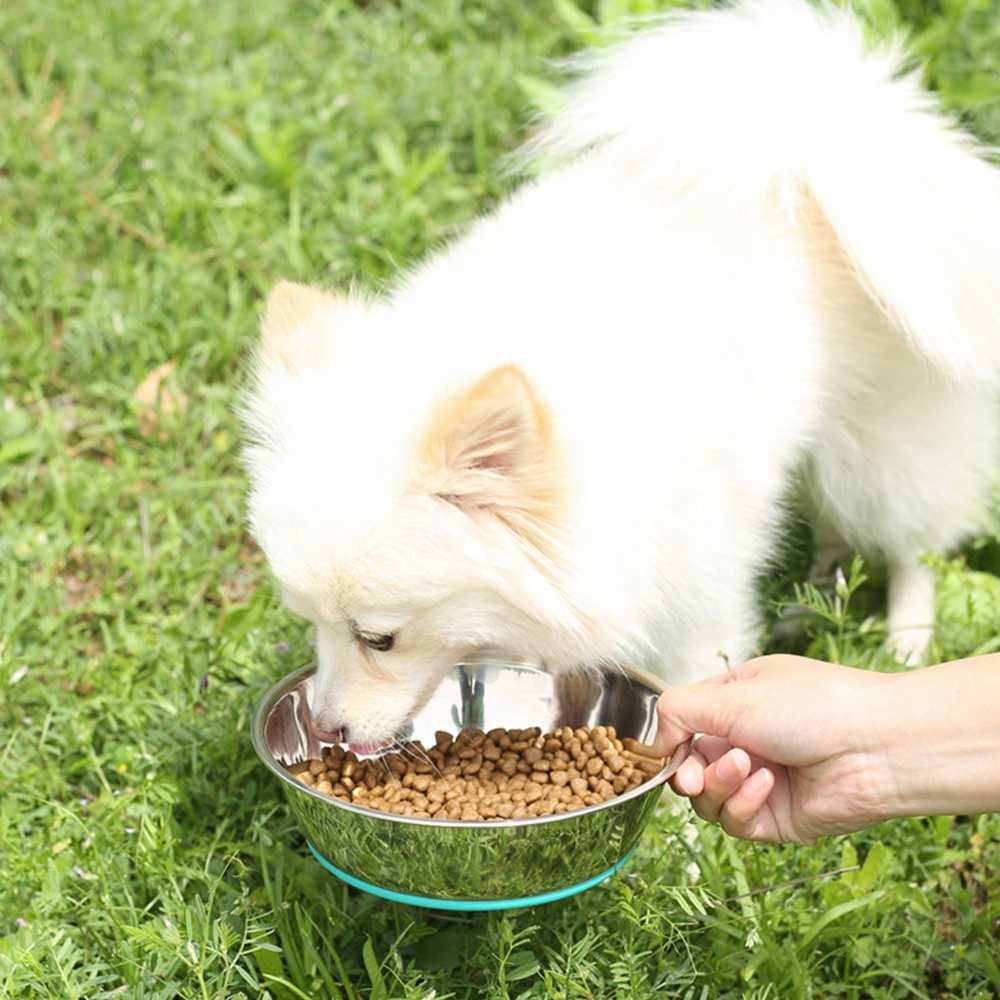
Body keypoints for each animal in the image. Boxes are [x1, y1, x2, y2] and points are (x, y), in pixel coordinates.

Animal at [242, 0, 1000, 744]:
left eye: (379, 638)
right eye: (310, 624)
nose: (328, 727)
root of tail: (807, 132)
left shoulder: (697, 592)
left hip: (886, 441)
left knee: (913, 547)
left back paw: (905, 640)